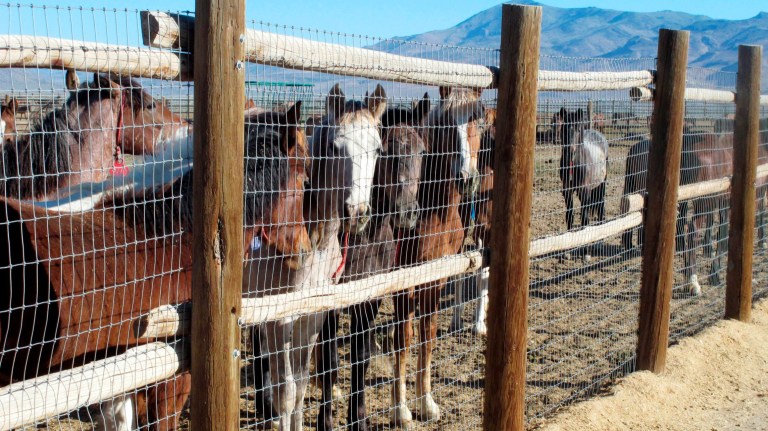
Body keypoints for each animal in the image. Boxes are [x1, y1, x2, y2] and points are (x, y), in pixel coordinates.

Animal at [246, 84, 387, 431]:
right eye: (336, 147)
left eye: (378, 149)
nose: (356, 213)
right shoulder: (280, 316)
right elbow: (286, 389)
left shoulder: (313, 312)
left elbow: (301, 383)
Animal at [314, 96, 429, 431]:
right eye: (387, 151)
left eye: (422, 150)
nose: (407, 212)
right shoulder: (330, 300)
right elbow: (329, 361)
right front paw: (325, 421)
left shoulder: (370, 297)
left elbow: (361, 356)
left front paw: (359, 419)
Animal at [390, 86, 486, 426]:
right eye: (445, 126)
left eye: (479, 121)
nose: (467, 178)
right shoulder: (404, 280)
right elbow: (403, 338)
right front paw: (401, 410)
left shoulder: (437, 275)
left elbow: (427, 335)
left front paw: (427, 402)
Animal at [557, 108, 609, 259]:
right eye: (564, 127)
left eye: (578, 129)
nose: (570, 151)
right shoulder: (567, 192)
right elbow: (569, 217)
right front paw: (567, 252)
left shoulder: (584, 192)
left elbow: (585, 219)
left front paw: (586, 253)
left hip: (601, 185)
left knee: (601, 208)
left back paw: (599, 243)